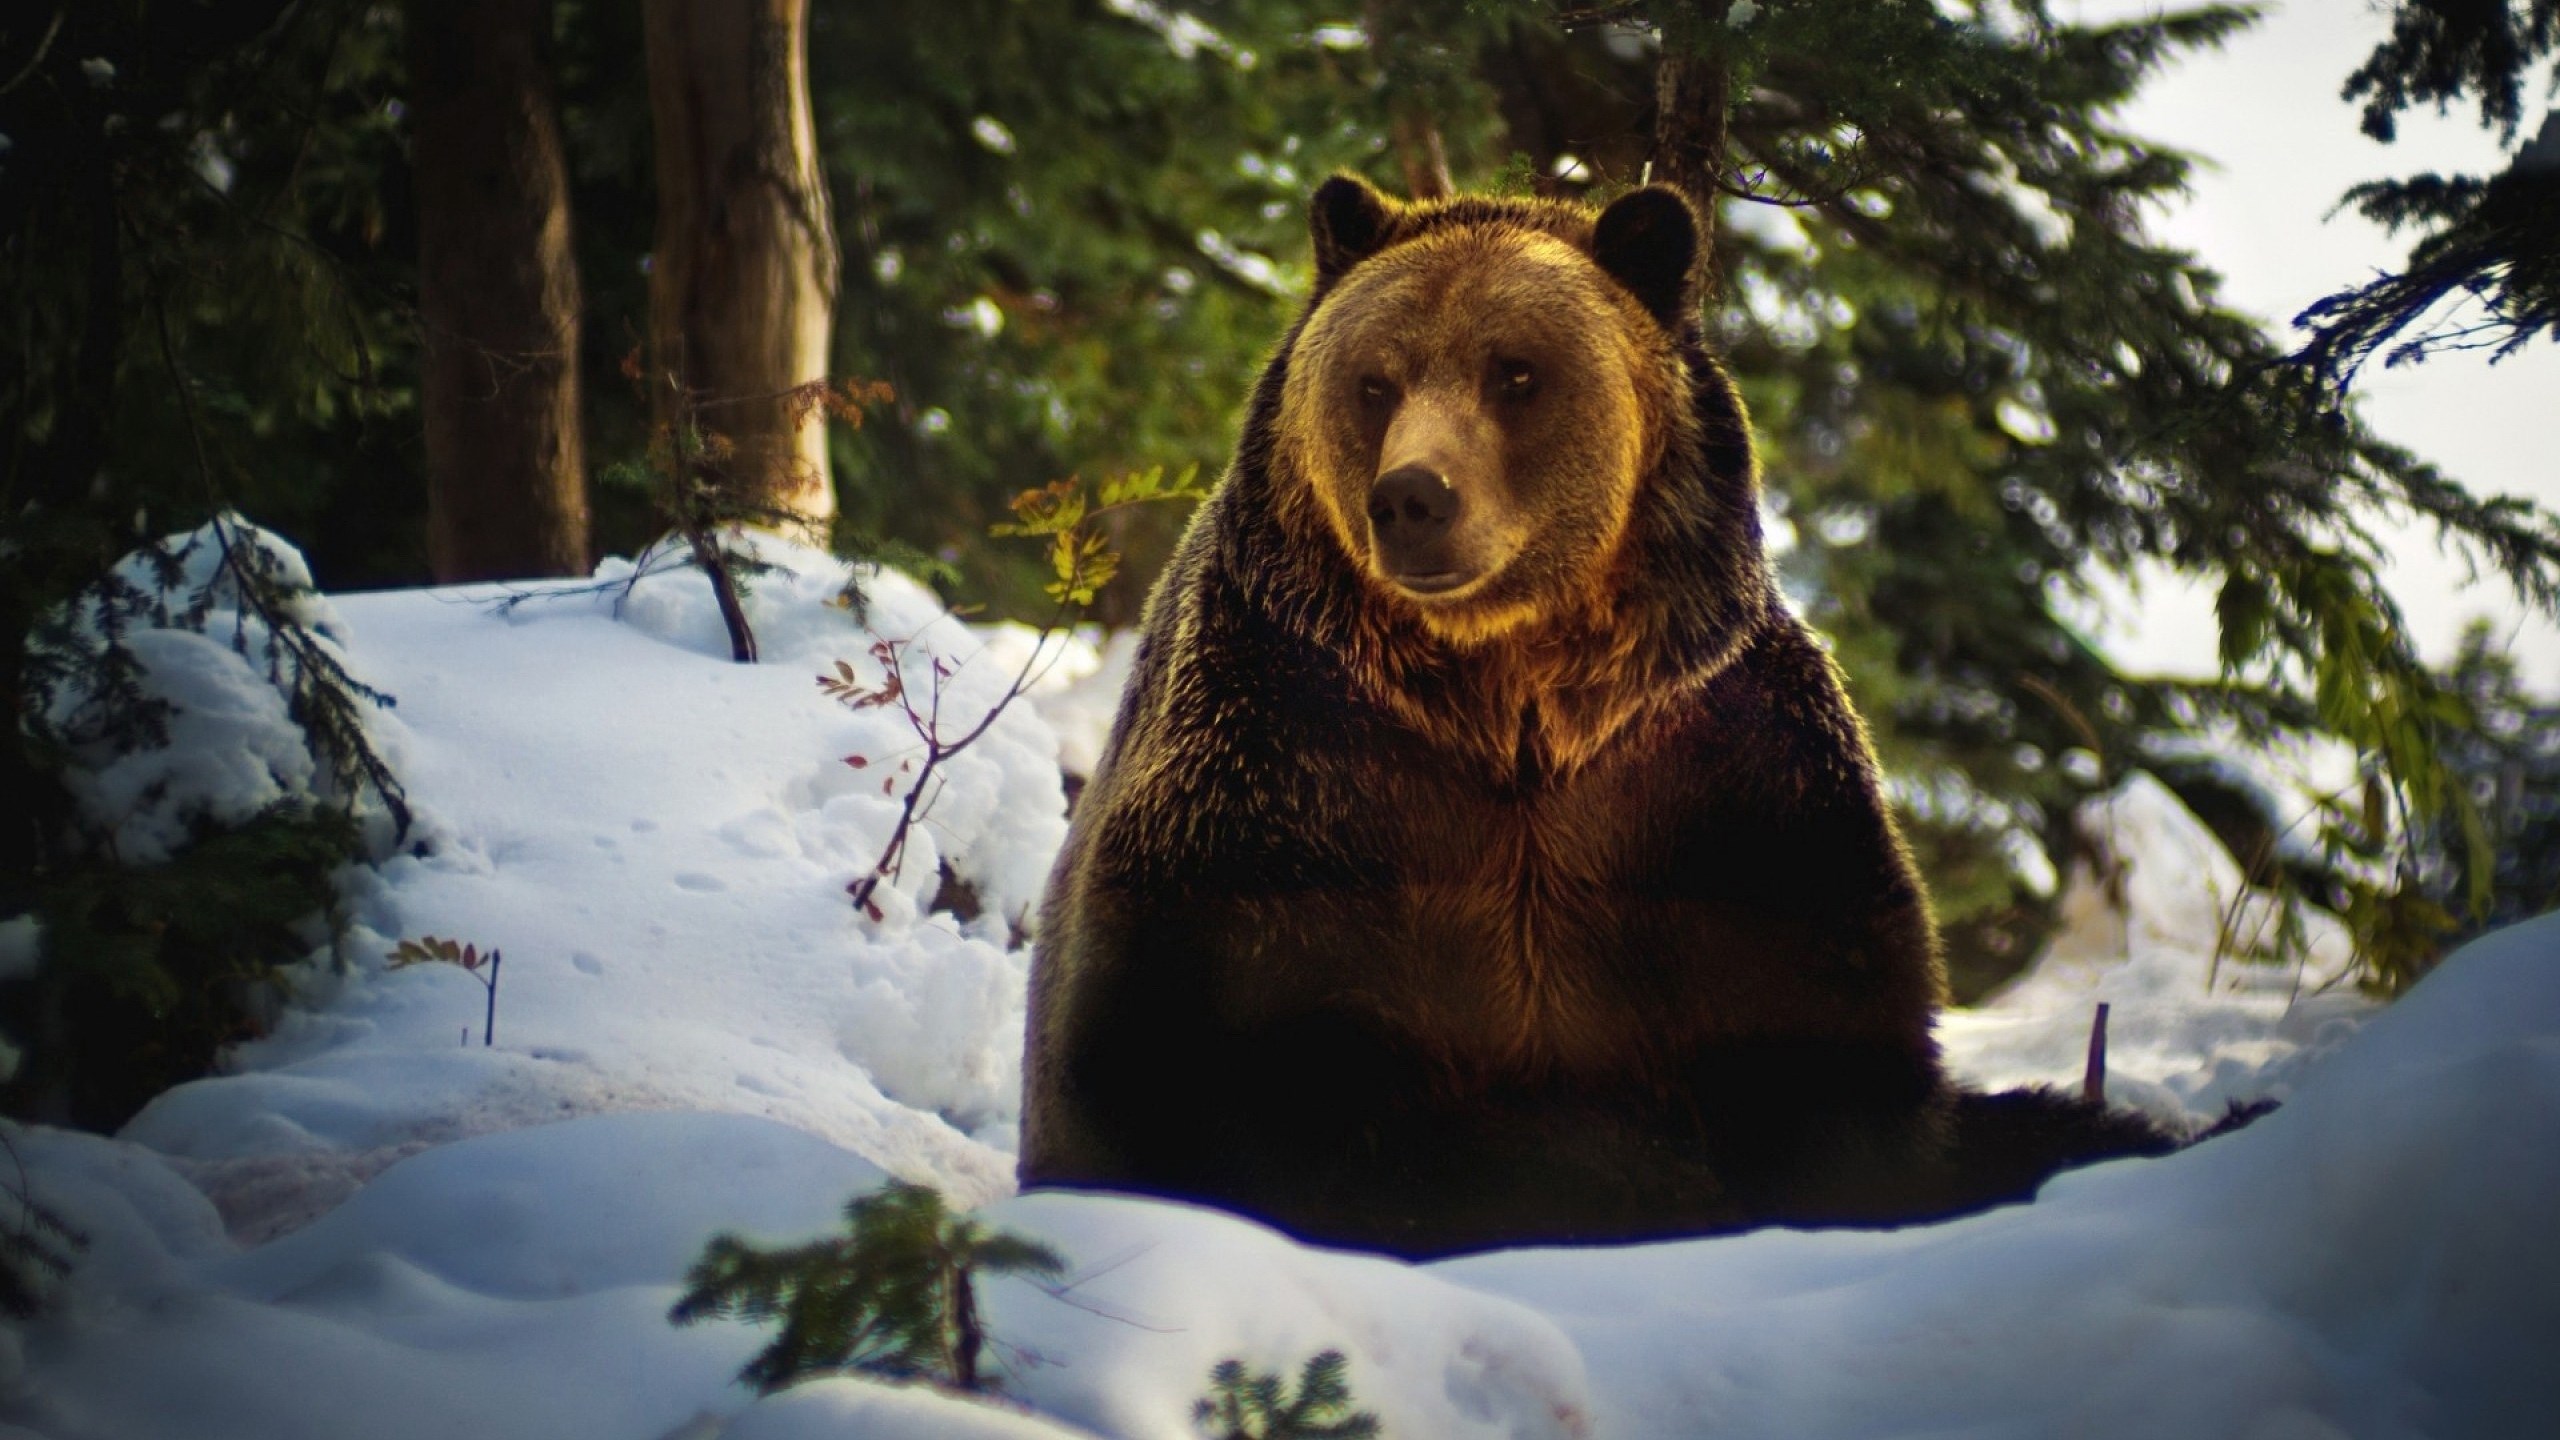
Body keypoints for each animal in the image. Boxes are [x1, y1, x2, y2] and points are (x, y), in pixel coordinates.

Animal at [1018, 174, 2169, 1258]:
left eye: (1516, 371)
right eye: (1374, 379)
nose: (1413, 497)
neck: (1510, 697)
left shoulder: (1719, 781)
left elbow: (1835, 1053)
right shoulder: (1285, 767)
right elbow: (1200, 1061)